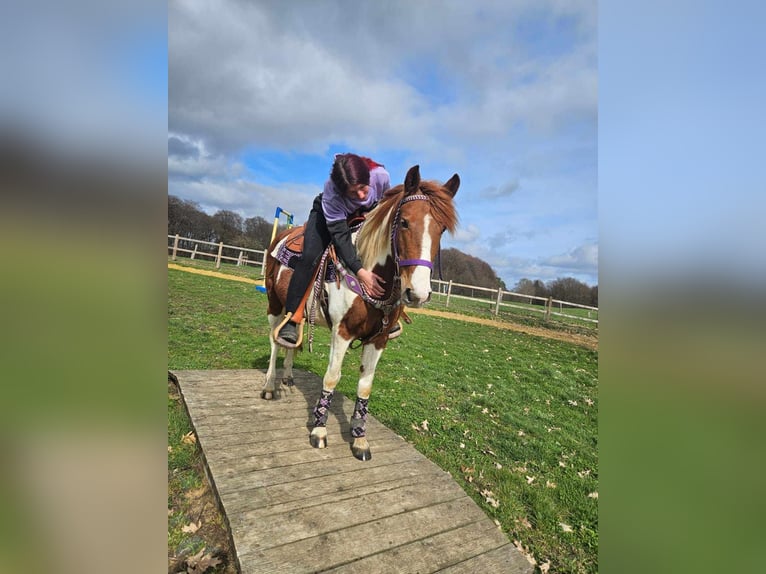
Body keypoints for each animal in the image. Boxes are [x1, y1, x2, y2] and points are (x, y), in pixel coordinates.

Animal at [261, 165, 459, 461]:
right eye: (404, 222)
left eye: (442, 228)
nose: (419, 293)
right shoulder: (341, 333)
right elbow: (332, 377)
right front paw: (319, 431)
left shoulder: (379, 340)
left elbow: (365, 385)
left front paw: (359, 439)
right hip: (274, 304)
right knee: (275, 340)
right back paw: (270, 386)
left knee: (290, 338)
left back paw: (287, 376)